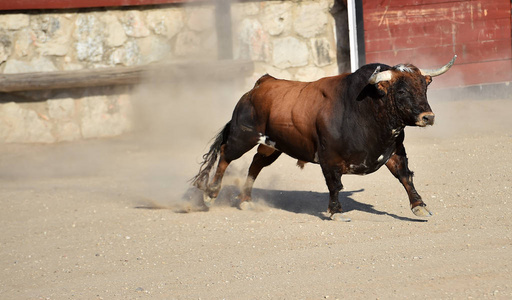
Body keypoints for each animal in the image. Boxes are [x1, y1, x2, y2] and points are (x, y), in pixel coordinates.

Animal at [192, 56, 456, 219]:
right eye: (401, 91)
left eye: (424, 87)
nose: (428, 117)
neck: (366, 110)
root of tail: (259, 85)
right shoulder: (330, 158)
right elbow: (335, 184)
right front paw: (336, 212)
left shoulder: (393, 151)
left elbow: (405, 176)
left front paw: (419, 206)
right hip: (243, 136)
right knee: (226, 155)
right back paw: (211, 194)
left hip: (272, 145)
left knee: (255, 164)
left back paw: (245, 199)